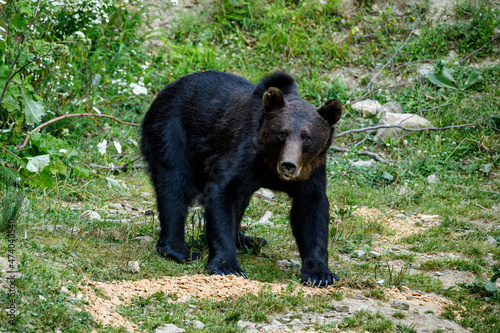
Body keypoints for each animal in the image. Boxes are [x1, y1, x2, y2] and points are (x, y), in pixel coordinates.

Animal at [142, 70, 344, 286]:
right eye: (282, 133)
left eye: (307, 137)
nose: (288, 164)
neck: (269, 163)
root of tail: (166, 90)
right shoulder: (243, 154)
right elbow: (221, 192)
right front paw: (227, 266)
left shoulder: (311, 171)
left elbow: (311, 211)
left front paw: (320, 274)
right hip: (171, 133)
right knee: (174, 185)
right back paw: (179, 250)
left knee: (239, 201)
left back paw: (248, 239)